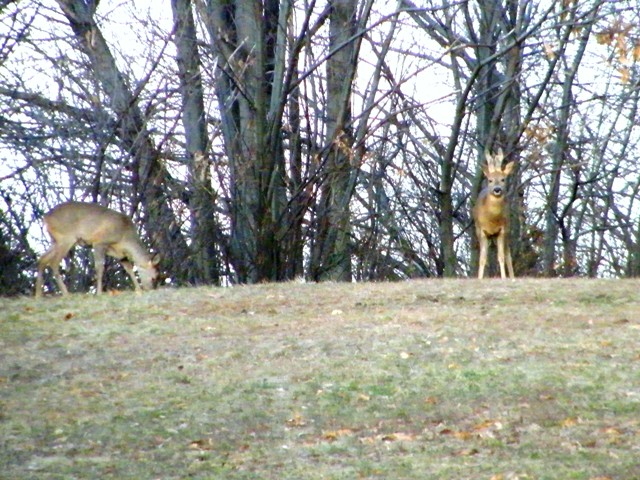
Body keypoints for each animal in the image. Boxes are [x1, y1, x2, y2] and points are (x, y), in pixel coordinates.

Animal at [472, 148, 516, 280]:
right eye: (490, 180)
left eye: (503, 179)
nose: (497, 189)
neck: (492, 219)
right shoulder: (480, 231)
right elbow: (482, 258)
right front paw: (479, 278)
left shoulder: (502, 230)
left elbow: (501, 257)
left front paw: (504, 278)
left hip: (507, 229)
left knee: (507, 254)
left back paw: (512, 277)